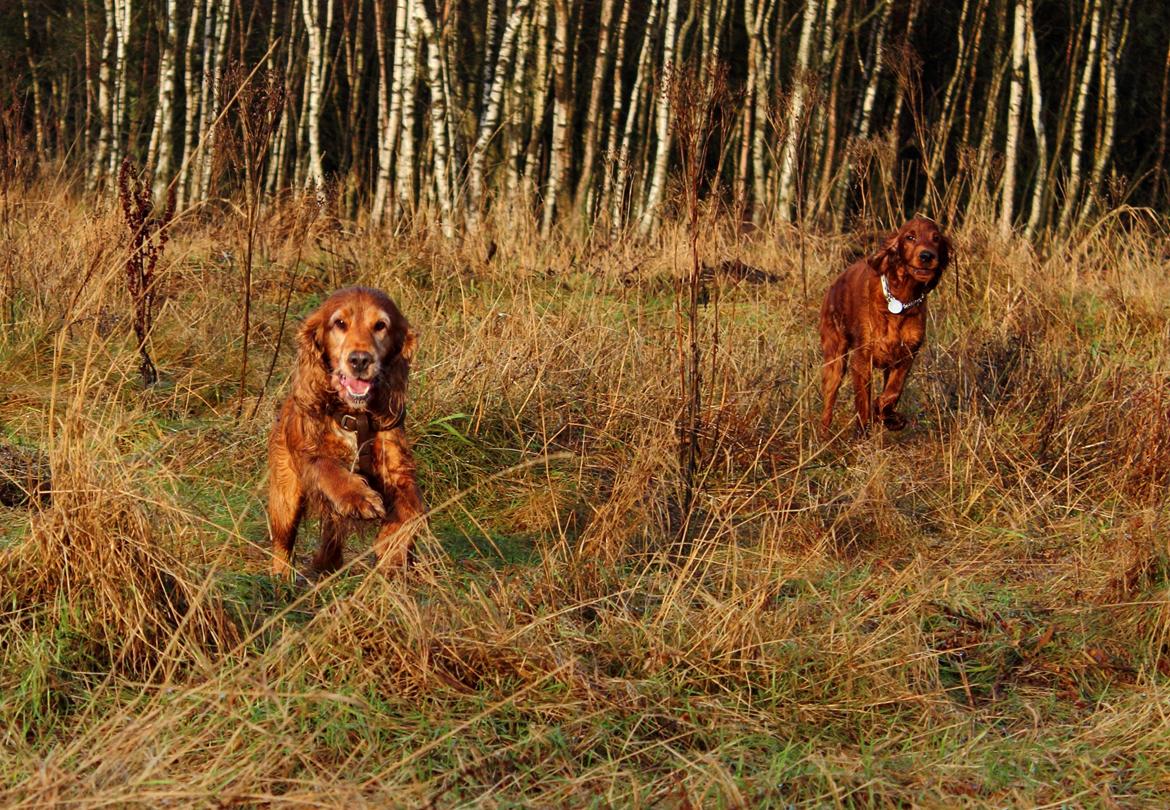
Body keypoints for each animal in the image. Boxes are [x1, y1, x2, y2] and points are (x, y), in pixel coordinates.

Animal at [267, 284, 423, 575]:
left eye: (380, 325)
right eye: (340, 323)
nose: (360, 360)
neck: (355, 415)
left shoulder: (400, 472)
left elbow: (413, 509)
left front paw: (390, 541)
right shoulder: (309, 455)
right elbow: (328, 468)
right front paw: (358, 497)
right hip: (284, 497)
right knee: (282, 544)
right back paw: (281, 578)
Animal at [823, 213, 950, 430]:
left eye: (936, 239)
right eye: (910, 237)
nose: (927, 256)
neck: (901, 299)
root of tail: (834, 284)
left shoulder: (906, 355)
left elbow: (892, 392)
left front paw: (890, 417)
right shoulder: (862, 359)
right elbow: (863, 403)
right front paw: (865, 428)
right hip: (835, 359)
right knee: (828, 401)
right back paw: (823, 433)